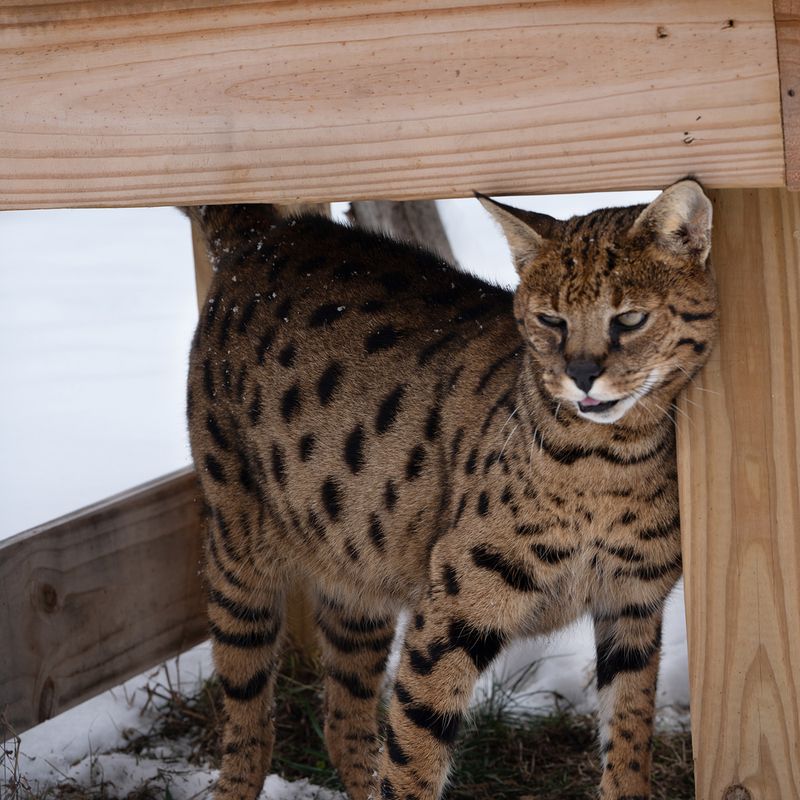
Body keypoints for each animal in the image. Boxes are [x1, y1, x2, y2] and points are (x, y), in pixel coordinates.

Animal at [186, 181, 720, 800]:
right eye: (551, 321)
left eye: (630, 319)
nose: (583, 375)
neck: (610, 457)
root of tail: (269, 233)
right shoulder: (453, 605)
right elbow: (415, 748)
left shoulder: (632, 604)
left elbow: (630, 735)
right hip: (240, 548)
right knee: (249, 715)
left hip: (359, 554)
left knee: (342, 714)